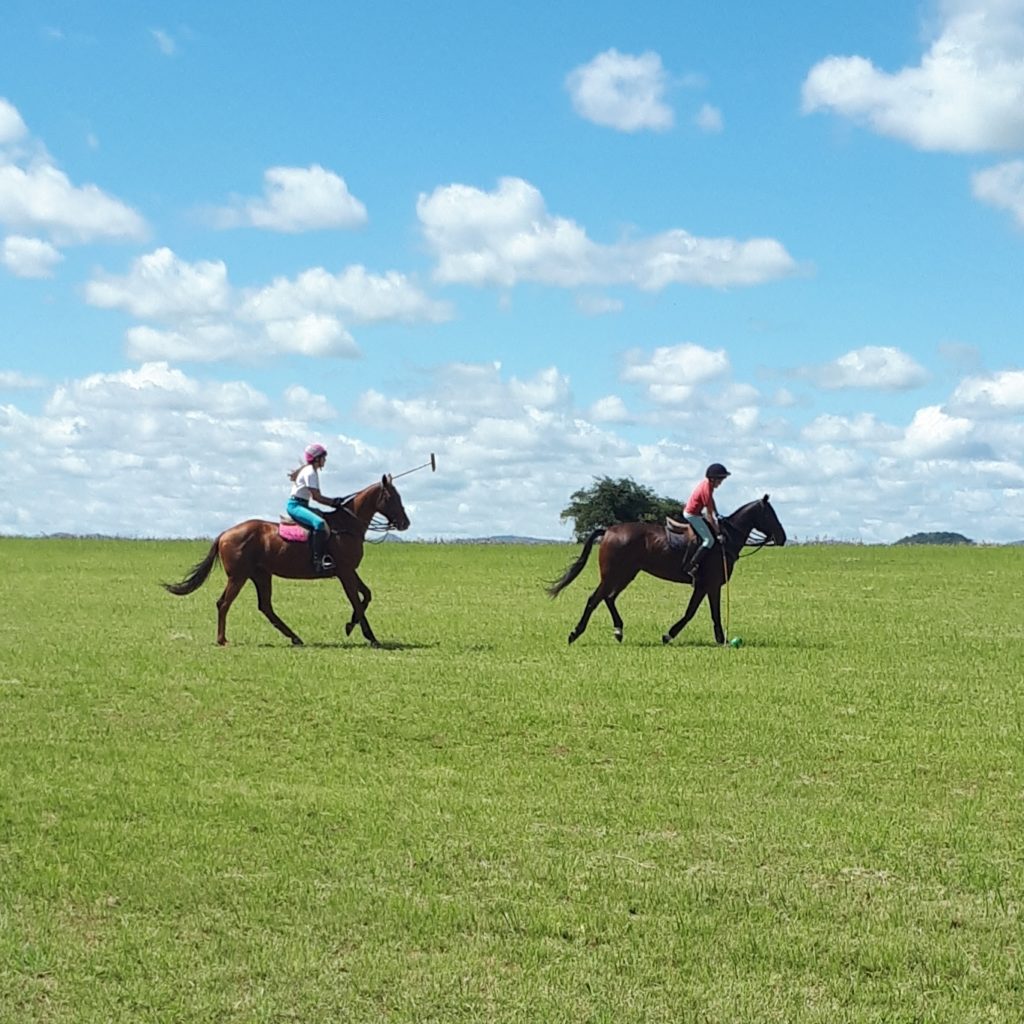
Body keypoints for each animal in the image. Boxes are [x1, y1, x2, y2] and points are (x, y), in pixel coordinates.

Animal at [161, 473, 409, 647]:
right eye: (391, 497)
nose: (405, 523)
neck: (346, 526)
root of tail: (225, 533)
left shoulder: (348, 571)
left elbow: (366, 595)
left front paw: (350, 625)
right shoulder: (345, 572)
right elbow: (357, 600)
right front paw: (370, 636)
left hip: (260, 575)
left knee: (265, 607)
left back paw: (295, 637)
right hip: (239, 577)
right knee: (224, 603)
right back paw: (222, 639)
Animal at [548, 495, 786, 647]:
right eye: (770, 514)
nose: (782, 537)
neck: (723, 539)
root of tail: (608, 531)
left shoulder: (706, 586)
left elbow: (702, 612)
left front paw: (717, 639)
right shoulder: (710, 584)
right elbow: (699, 612)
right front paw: (672, 636)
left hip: (626, 574)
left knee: (609, 598)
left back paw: (618, 631)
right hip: (613, 575)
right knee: (594, 599)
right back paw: (575, 633)